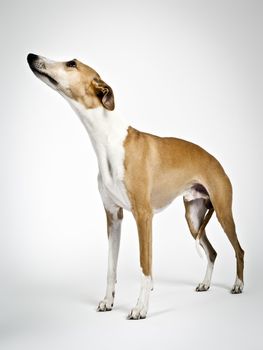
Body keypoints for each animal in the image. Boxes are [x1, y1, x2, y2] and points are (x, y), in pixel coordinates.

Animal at [26, 52, 245, 320]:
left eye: (72, 64)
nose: (32, 56)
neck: (108, 140)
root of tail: (216, 161)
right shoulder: (113, 216)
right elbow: (111, 267)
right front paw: (108, 301)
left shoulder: (143, 216)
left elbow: (145, 266)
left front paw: (141, 307)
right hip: (194, 218)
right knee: (212, 252)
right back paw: (205, 284)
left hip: (223, 212)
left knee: (239, 250)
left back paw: (238, 285)